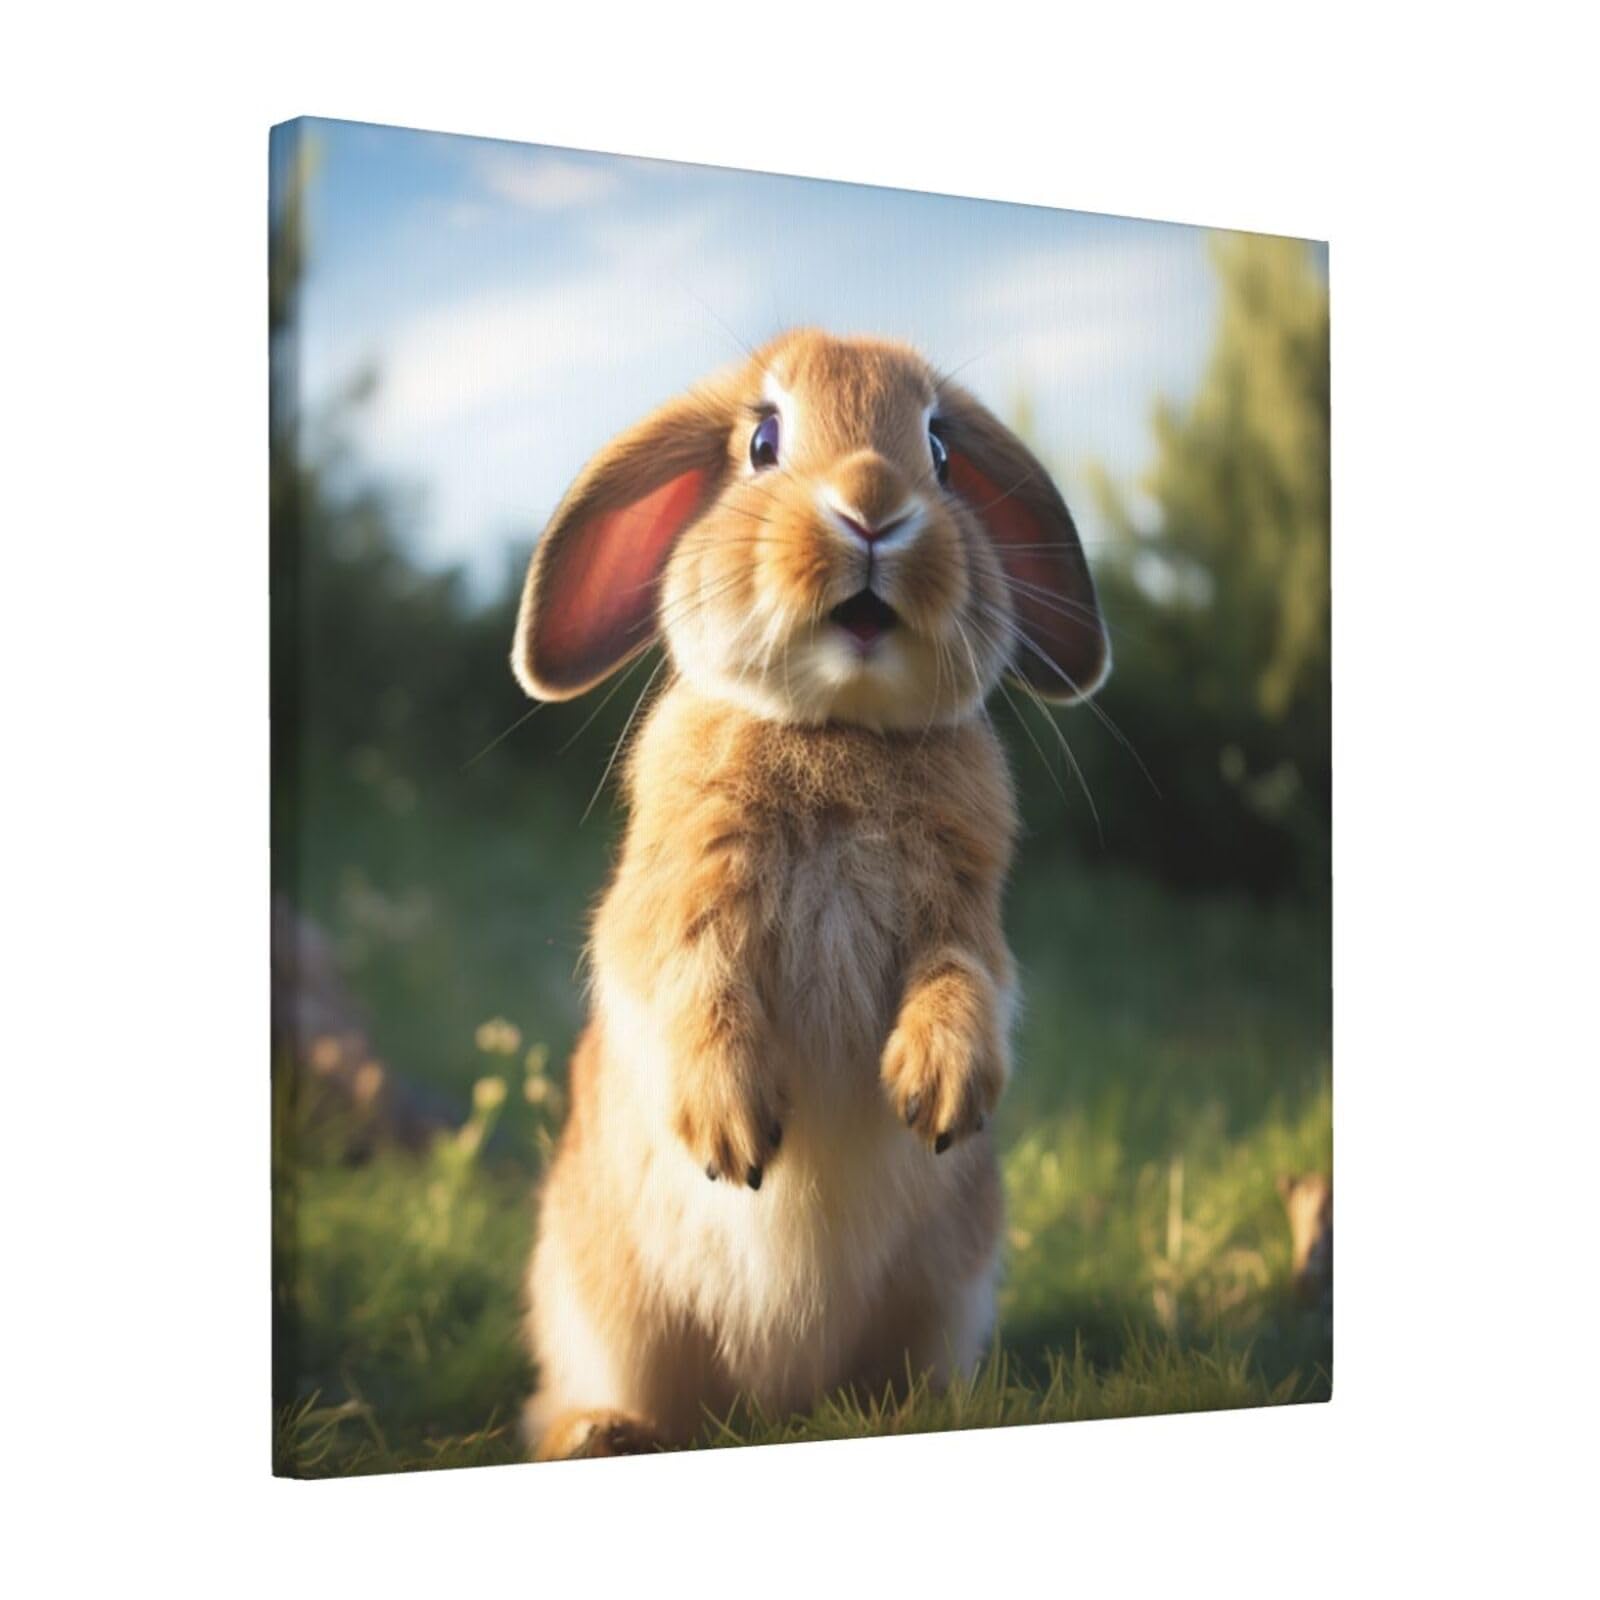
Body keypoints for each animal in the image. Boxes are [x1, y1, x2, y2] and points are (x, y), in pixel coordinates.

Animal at [511, 329, 1109, 1460]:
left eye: (941, 452)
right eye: (762, 441)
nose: (873, 506)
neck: (837, 727)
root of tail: (778, 1402)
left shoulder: (964, 918)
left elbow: (964, 983)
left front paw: (935, 1092)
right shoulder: (673, 910)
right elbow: (693, 989)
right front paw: (732, 1135)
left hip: (948, 1292)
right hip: (605, 1311)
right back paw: (605, 1431)